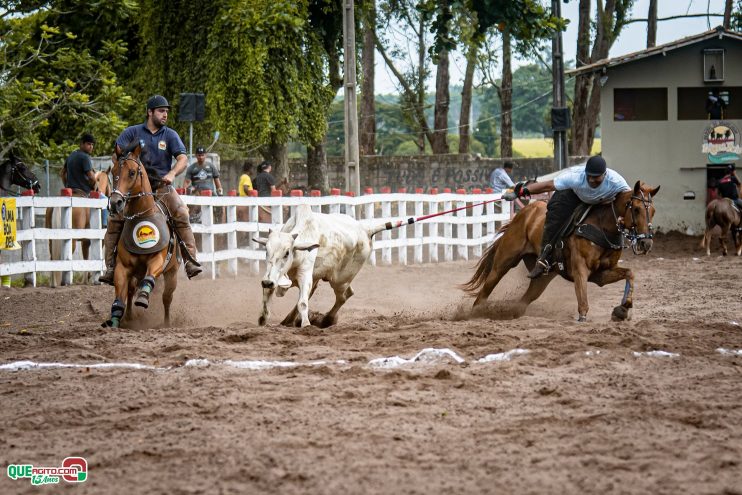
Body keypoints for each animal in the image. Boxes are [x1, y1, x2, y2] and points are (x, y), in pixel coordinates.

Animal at [104, 142, 179, 330]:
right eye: (113, 172)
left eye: (132, 172)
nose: (115, 202)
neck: (142, 216)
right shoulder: (122, 268)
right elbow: (120, 297)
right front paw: (115, 320)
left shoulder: (157, 260)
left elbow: (149, 279)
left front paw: (143, 298)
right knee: (130, 292)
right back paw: (130, 316)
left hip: (172, 273)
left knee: (166, 298)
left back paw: (166, 322)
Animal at [254, 205, 384, 330]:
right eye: (266, 250)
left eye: (287, 253)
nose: (267, 282)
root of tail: (366, 230)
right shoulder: (272, 277)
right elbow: (267, 297)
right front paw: (262, 320)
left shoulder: (305, 275)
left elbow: (302, 303)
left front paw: (306, 324)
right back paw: (289, 321)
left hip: (340, 281)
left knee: (343, 296)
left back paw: (326, 320)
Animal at [464, 181, 664, 322]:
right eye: (636, 209)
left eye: (654, 211)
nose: (646, 243)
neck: (602, 226)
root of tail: (525, 212)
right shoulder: (580, 269)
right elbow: (583, 301)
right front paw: (583, 319)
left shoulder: (600, 274)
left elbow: (630, 273)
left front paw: (623, 309)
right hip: (504, 262)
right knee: (484, 292)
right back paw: (473, 314)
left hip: (542, 278)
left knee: (524, 301)